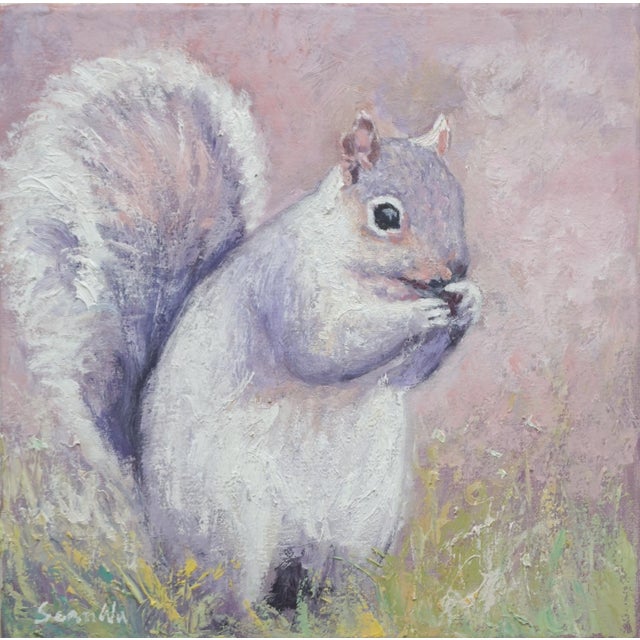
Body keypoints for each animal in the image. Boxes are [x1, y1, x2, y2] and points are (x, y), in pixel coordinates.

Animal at [1, 51, 481, 612]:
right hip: (234, 522)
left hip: (360, 525)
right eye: (386, 215)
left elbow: (403, 376)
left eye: (458, 199)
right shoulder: (288, 287)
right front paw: (423, 314)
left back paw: (349, 613)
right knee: (231, 596)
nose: (453, 269)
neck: (373, 281)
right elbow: (325, 348)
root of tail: (156, 522)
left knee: (326, 586)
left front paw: (469, 302)